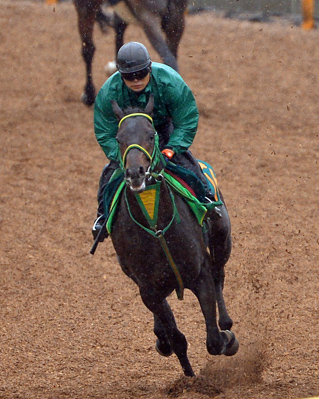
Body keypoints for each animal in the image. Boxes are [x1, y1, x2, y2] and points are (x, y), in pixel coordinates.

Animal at [103, 94, 240, 378]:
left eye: (151, 134)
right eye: (119, 138)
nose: (135, 173)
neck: (157, 228)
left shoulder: (199, 274)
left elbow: (213, 339)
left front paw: (226, 338)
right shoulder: (149, 289)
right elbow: (177, 338)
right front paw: (188, 377)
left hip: (222, 237)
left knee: (219, 275)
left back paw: (226, 323)